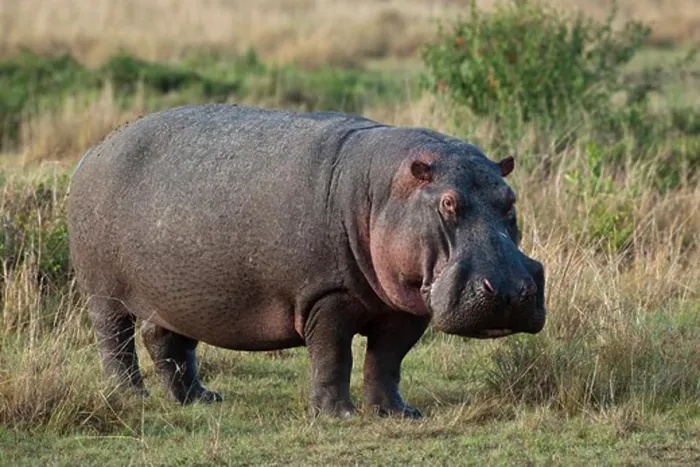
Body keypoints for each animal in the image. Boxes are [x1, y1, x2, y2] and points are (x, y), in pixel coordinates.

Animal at [67, 104, 546, 418]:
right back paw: (131, 397)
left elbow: (387, 362)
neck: (383, 190)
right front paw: (339, 416)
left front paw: (397, 413)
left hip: (176, 293)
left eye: (510, 199)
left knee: (164, 339)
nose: (508, 292)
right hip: (104, 293)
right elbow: (333, 357)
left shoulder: (405, 307)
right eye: (448, 203)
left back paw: (201, 399)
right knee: (115, 341)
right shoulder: (326, 296)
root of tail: (93, 150)